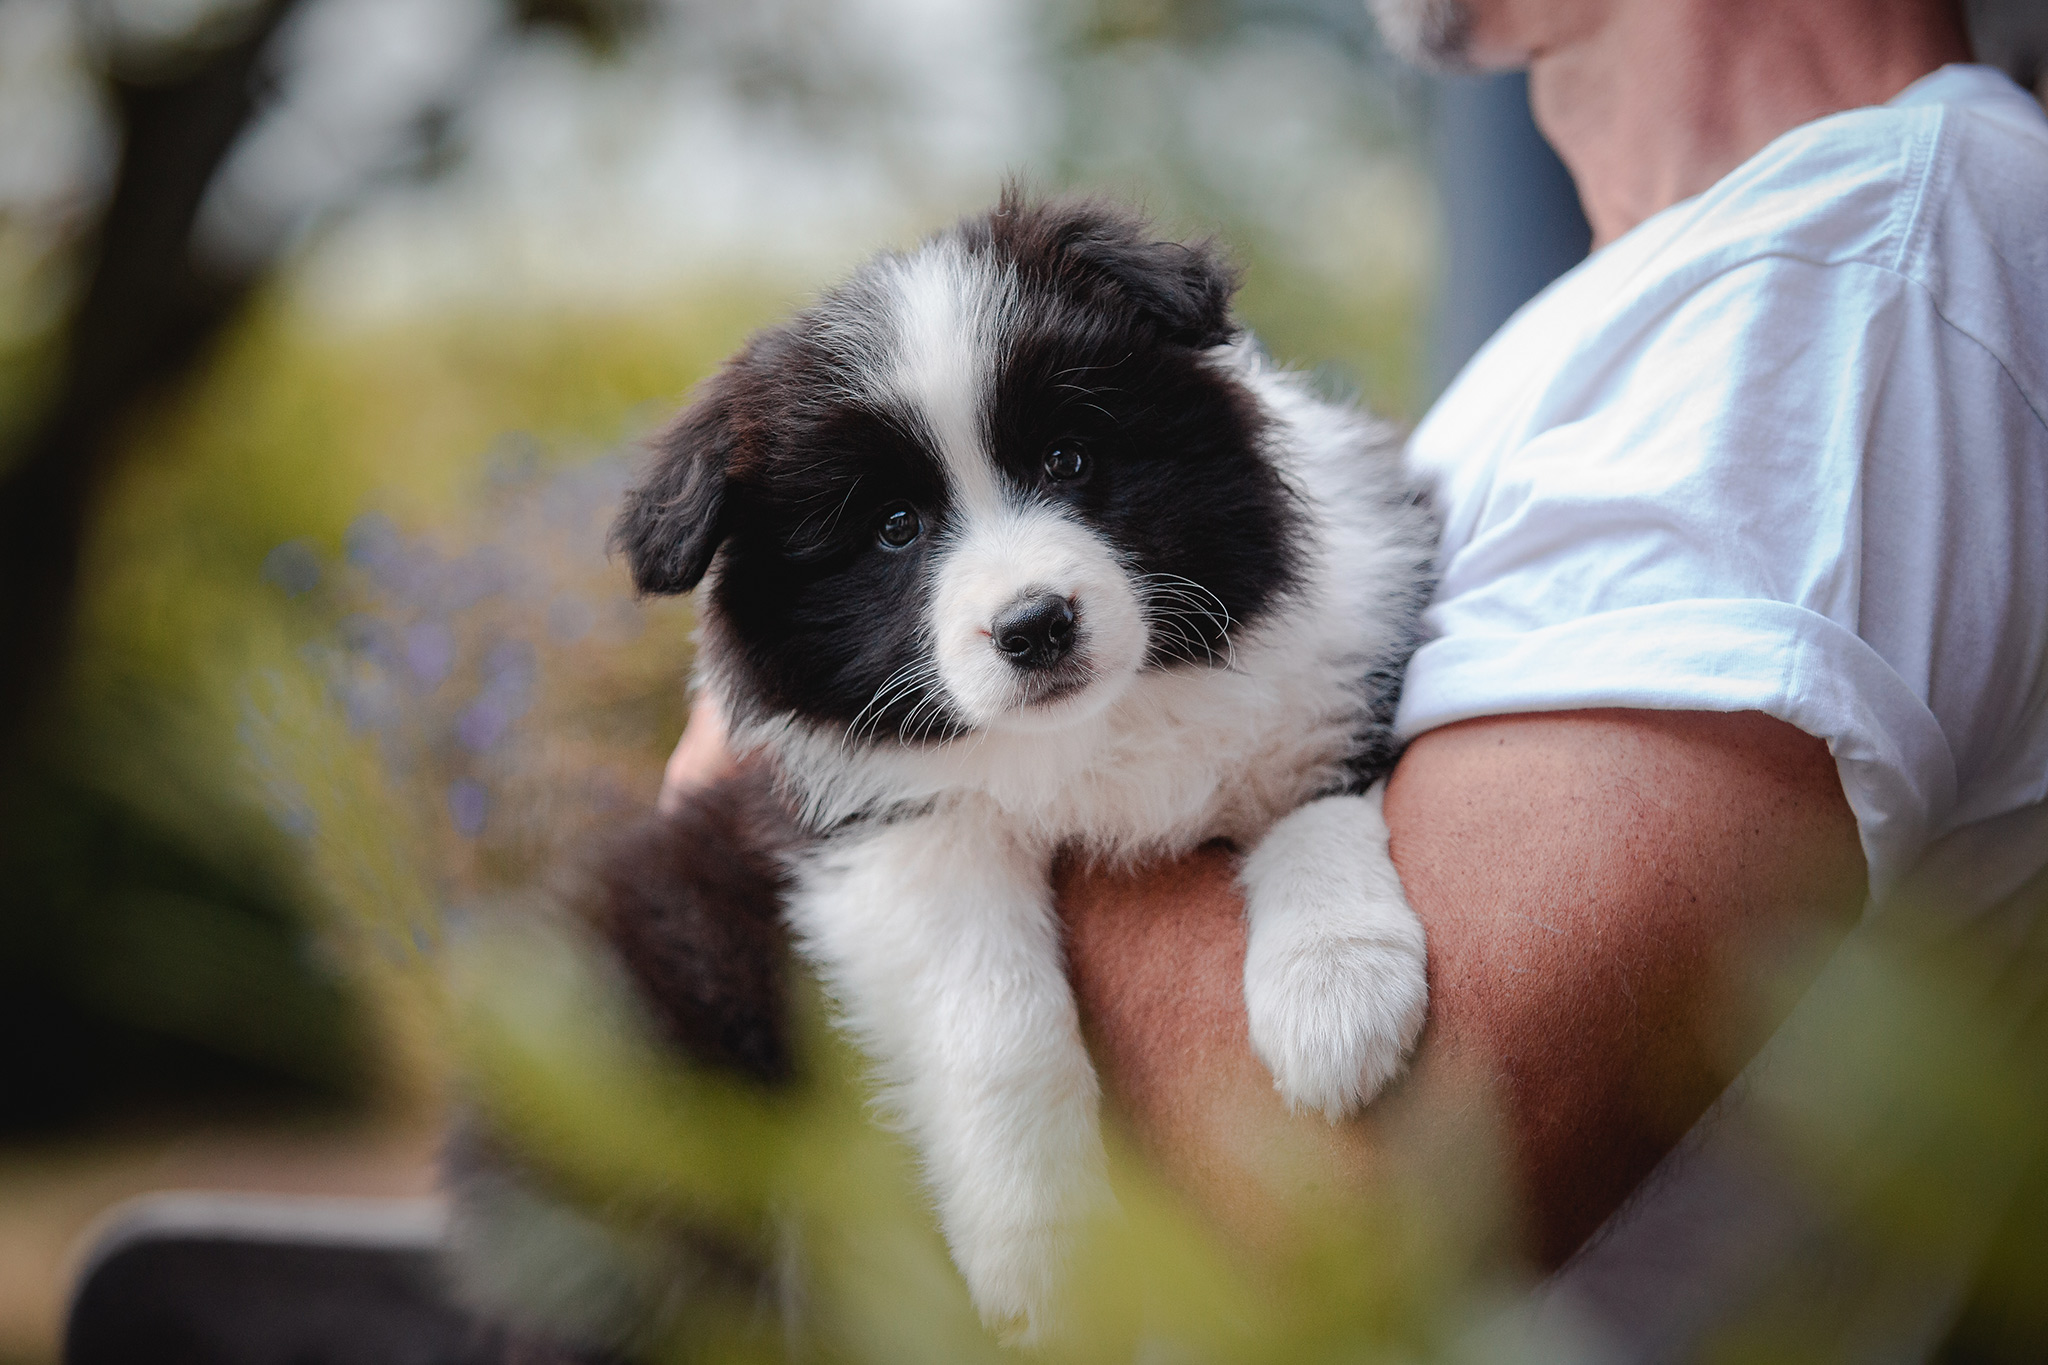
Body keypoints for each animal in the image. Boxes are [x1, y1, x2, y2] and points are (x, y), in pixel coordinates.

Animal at [614, 192, 1433, 1342]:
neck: (1091, 728)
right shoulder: (881, 829)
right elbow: (992, 1018)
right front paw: (1052, 1257)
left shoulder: (1348, 671)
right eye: (893, 527)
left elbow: (1313, 805)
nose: (1035, 625)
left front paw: (1334, 995)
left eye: (1066, 459)